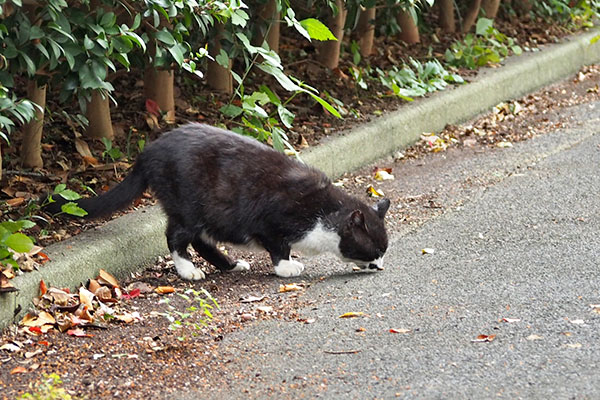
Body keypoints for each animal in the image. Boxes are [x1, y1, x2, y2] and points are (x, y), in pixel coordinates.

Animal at [50, 123, 390, 280]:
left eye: (384, 250)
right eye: (375, 249)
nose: (380, 265)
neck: (323, 214)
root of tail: (150, 150)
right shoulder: (271, 221)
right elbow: (279, 247)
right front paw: (287, 267)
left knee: (201, 240)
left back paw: (229, 263)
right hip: (189, 206)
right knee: (176, 236)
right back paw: (188, 270)